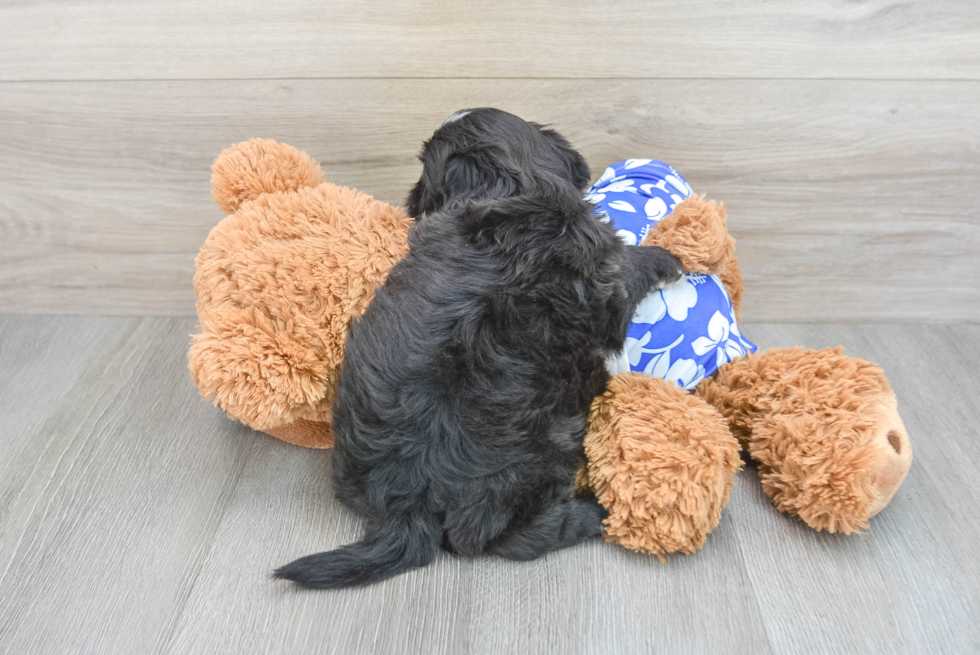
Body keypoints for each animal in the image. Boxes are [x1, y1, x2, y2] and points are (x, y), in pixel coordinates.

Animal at [272, 107, 676, 588]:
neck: (513, 188)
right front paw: (666, 258)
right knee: (515, 538)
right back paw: (593, 513)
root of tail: (407, 510)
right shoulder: (606, 274)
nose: (411, 201)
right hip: (539, 458)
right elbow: (631, 266)